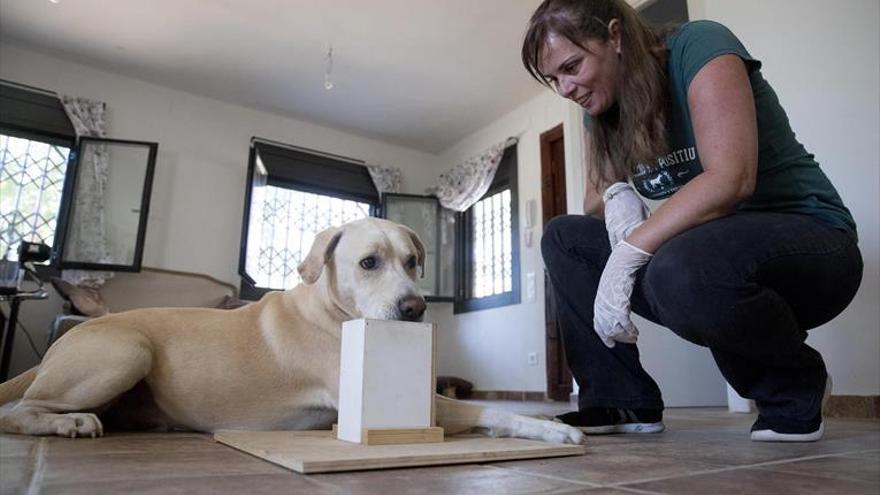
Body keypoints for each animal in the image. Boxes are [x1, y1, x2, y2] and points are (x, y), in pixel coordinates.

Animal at [0, 218, 584, 446]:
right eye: (369, 263)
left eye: (413, 261)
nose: (416, 308)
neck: (334, 311)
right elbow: (492, 410)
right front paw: (552, 429)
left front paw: (550, 422)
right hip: (128, 351)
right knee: (19, 411)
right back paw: (69, 422)